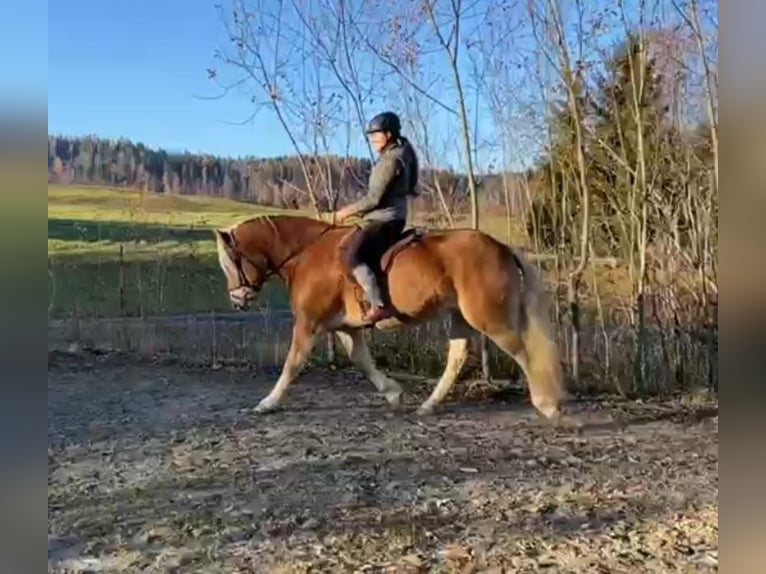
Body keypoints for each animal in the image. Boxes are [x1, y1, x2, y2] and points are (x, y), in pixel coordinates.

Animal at [213, 214, 565, 419]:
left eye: (231, 262)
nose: (237, 300)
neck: (307, 253)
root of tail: (502, 247)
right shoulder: (347, 327)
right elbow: (362, 360)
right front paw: (393, 393)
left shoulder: (309, 322)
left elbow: (292, 364)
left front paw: (268, 402)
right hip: (459, 315)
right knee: (458, 355)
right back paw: (428, 405)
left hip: (488, 316)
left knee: (521, 349)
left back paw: (547, 404)